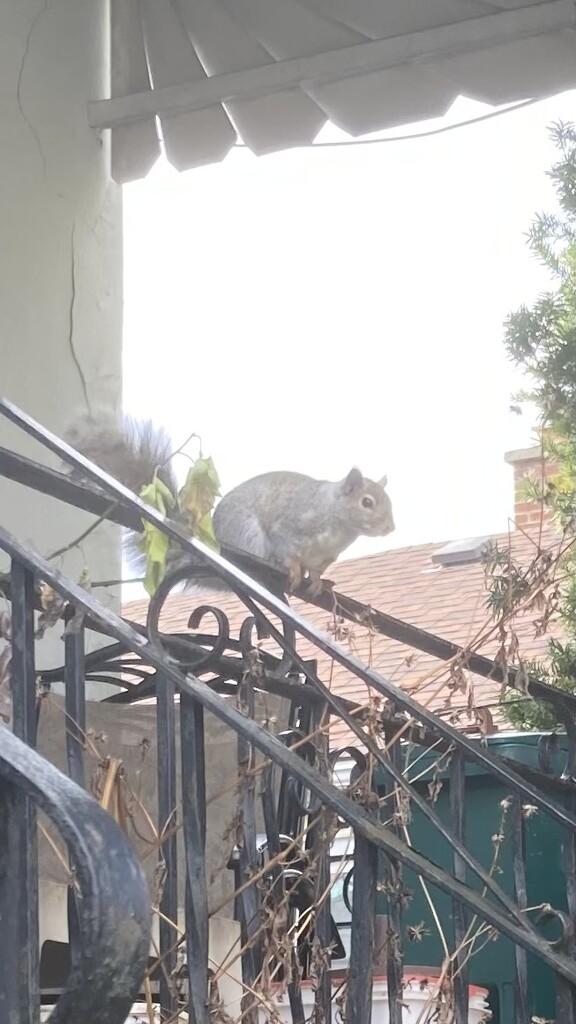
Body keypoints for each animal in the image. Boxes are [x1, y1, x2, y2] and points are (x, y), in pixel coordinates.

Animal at [63, 411, 393, 598]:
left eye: (388, 502)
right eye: (367, 502)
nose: (390, 527)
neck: (339, 525)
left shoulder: (326, 555)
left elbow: (317, 569)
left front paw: (318, 581)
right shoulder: (293, 523)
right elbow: (287, 546)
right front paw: (293, 569)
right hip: (250, 537)